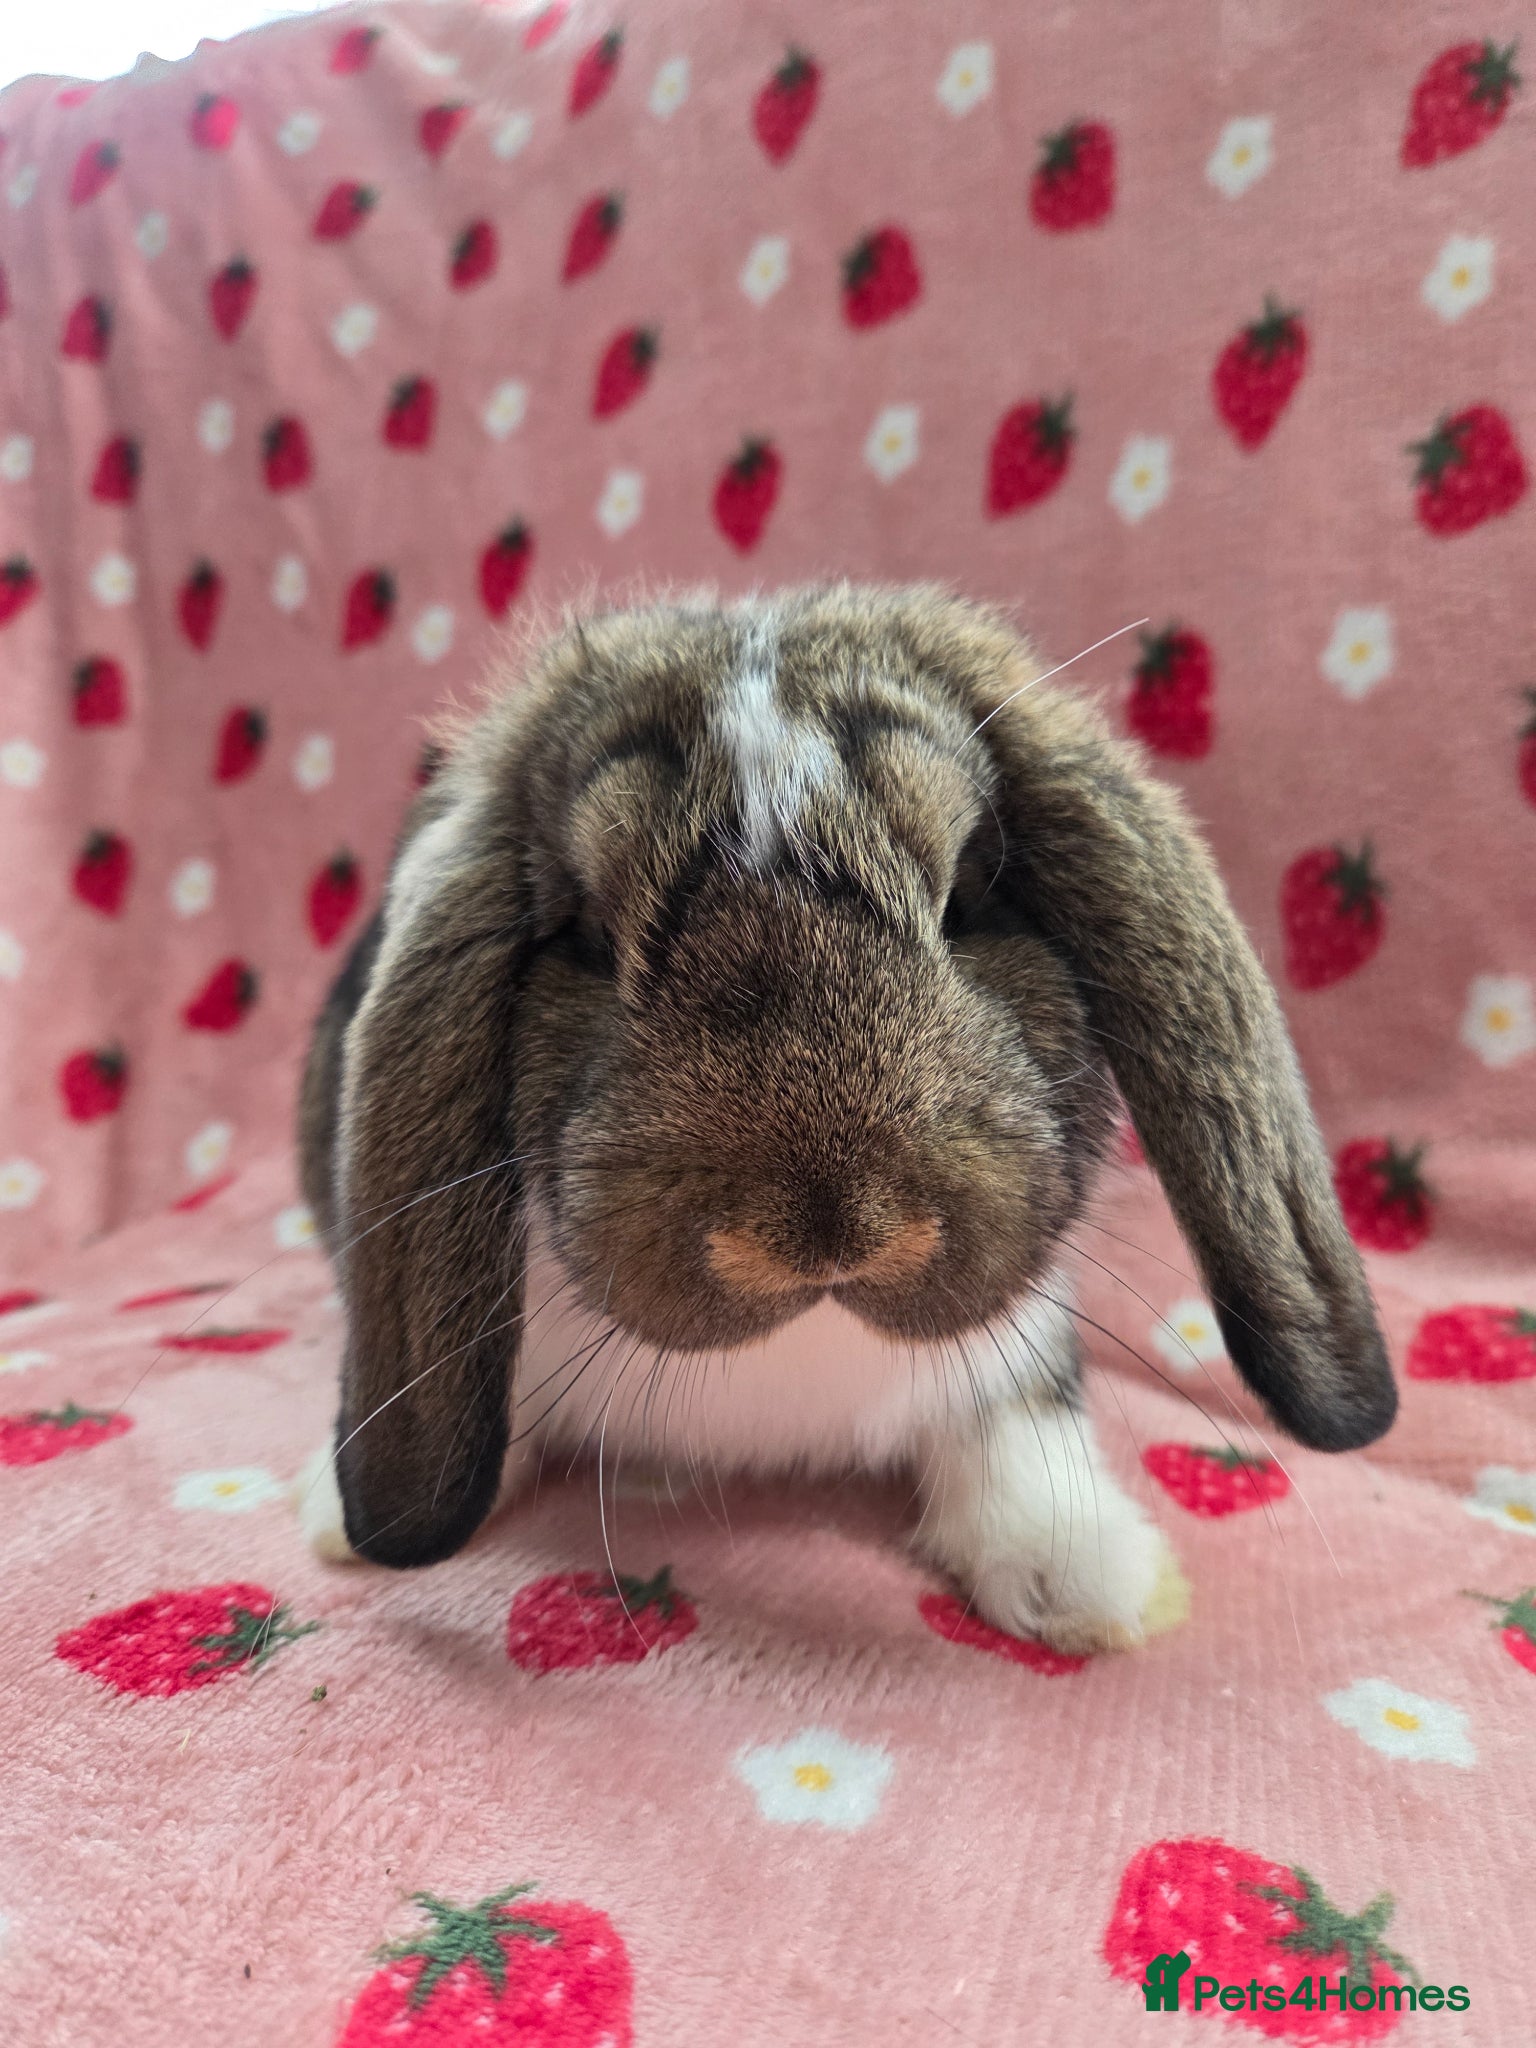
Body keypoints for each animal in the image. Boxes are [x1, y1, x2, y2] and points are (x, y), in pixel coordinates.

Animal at [293, 583, 1396, 1653]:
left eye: (970, 896)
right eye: (591, 941)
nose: (828, 1232)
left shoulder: (1023, 1337)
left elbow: (1020, 1417)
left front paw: (1084, 1576)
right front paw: (334, 1521)